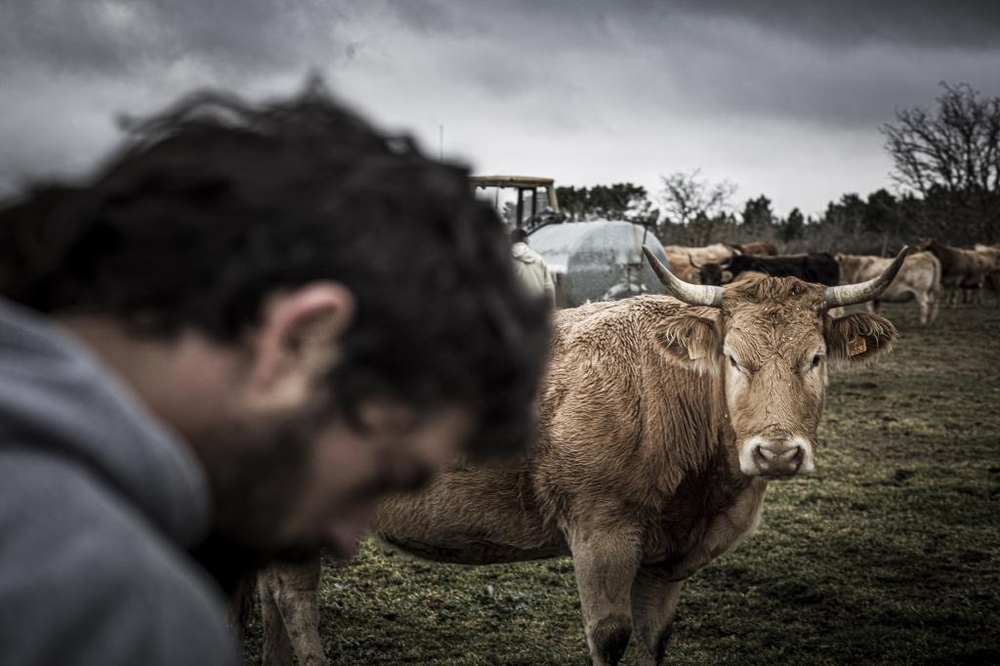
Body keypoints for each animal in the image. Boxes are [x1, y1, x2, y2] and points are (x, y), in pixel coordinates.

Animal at [254, 245, 912, 664]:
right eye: (732, 357)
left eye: (816, 358)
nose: (776, 453)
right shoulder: (602, 532)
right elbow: (611, 637)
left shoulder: (667, 560)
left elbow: (654, 641)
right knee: (294, 596)